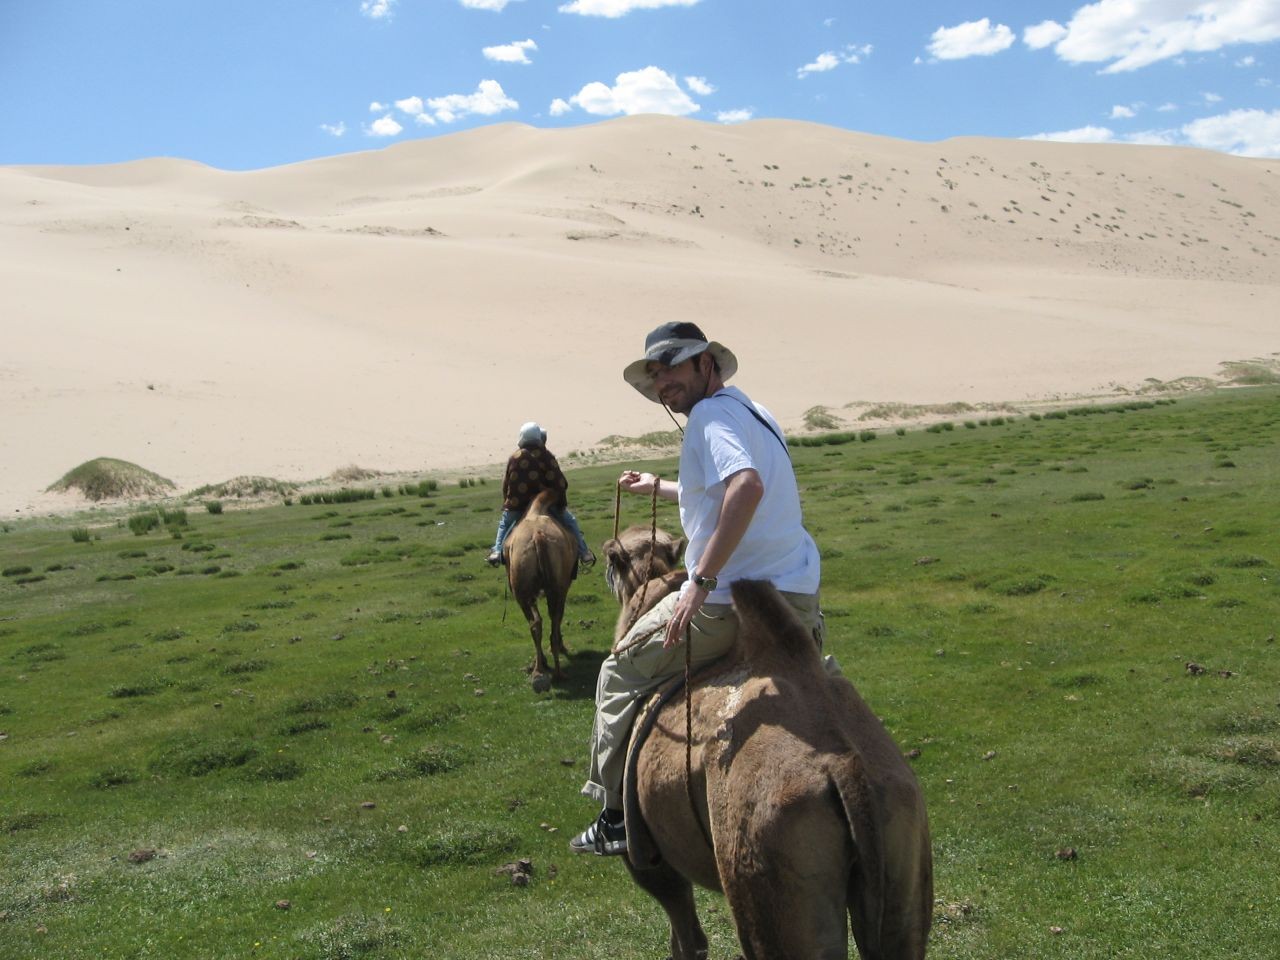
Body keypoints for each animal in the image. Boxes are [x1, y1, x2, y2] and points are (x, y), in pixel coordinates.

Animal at [503, 488, 578, 692]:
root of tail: (538, 536)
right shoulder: (564, 587)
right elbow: (558, 618)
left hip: (522, 591)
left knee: (535, 622)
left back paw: (540, 669)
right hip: (555, 587)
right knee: (552, 618)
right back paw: (556, 670)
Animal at [607, 530, 933, 960]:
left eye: (612, 559)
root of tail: (849, 768)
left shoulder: (646, 854)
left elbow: (685, 935)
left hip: (770, 843)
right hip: (901, 822)